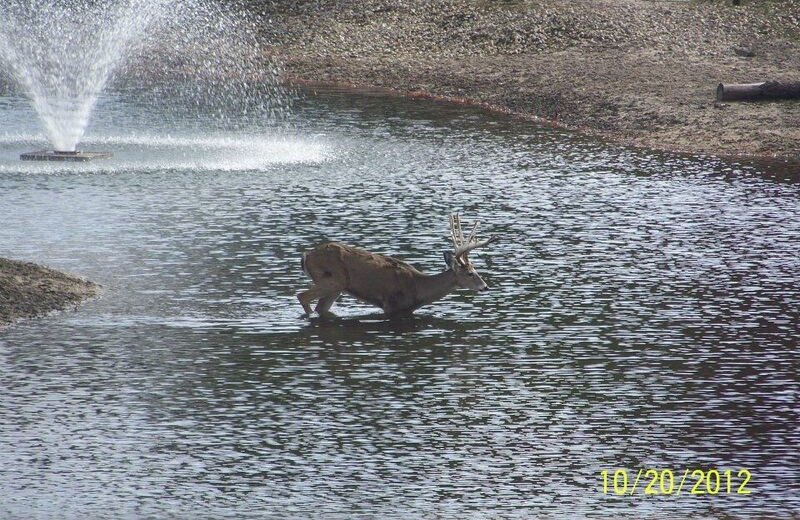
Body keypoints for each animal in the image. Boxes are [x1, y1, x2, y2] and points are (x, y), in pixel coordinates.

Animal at [294, 214, 494, 316]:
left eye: (476, 270)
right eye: (469, 273)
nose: (485, 286)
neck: (418, 288)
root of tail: (306, 256)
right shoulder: (392, 304)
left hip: (337, 287)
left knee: (320, 307)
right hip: (333, 278)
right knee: (302, 295)